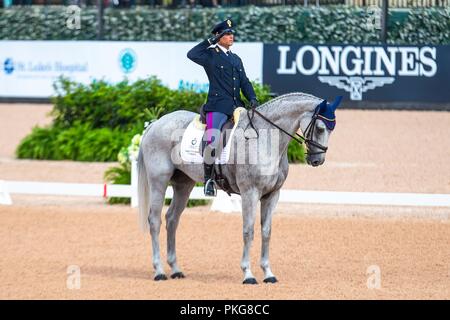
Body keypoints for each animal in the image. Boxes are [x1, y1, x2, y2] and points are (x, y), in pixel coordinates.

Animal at [137, 91, 342, 284]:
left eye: (332, 130)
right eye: (320, 128)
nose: (317, 160)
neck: (265, 139)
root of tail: (155, 124)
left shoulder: (272, 195)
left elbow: (266, 232)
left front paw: (268, 273)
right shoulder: (249, 192)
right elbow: (248, 231)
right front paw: (248, 274)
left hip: (183, 184)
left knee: (172, 219)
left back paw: (176, 269)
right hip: (159, 181)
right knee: (154, 221)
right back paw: (159, 271)